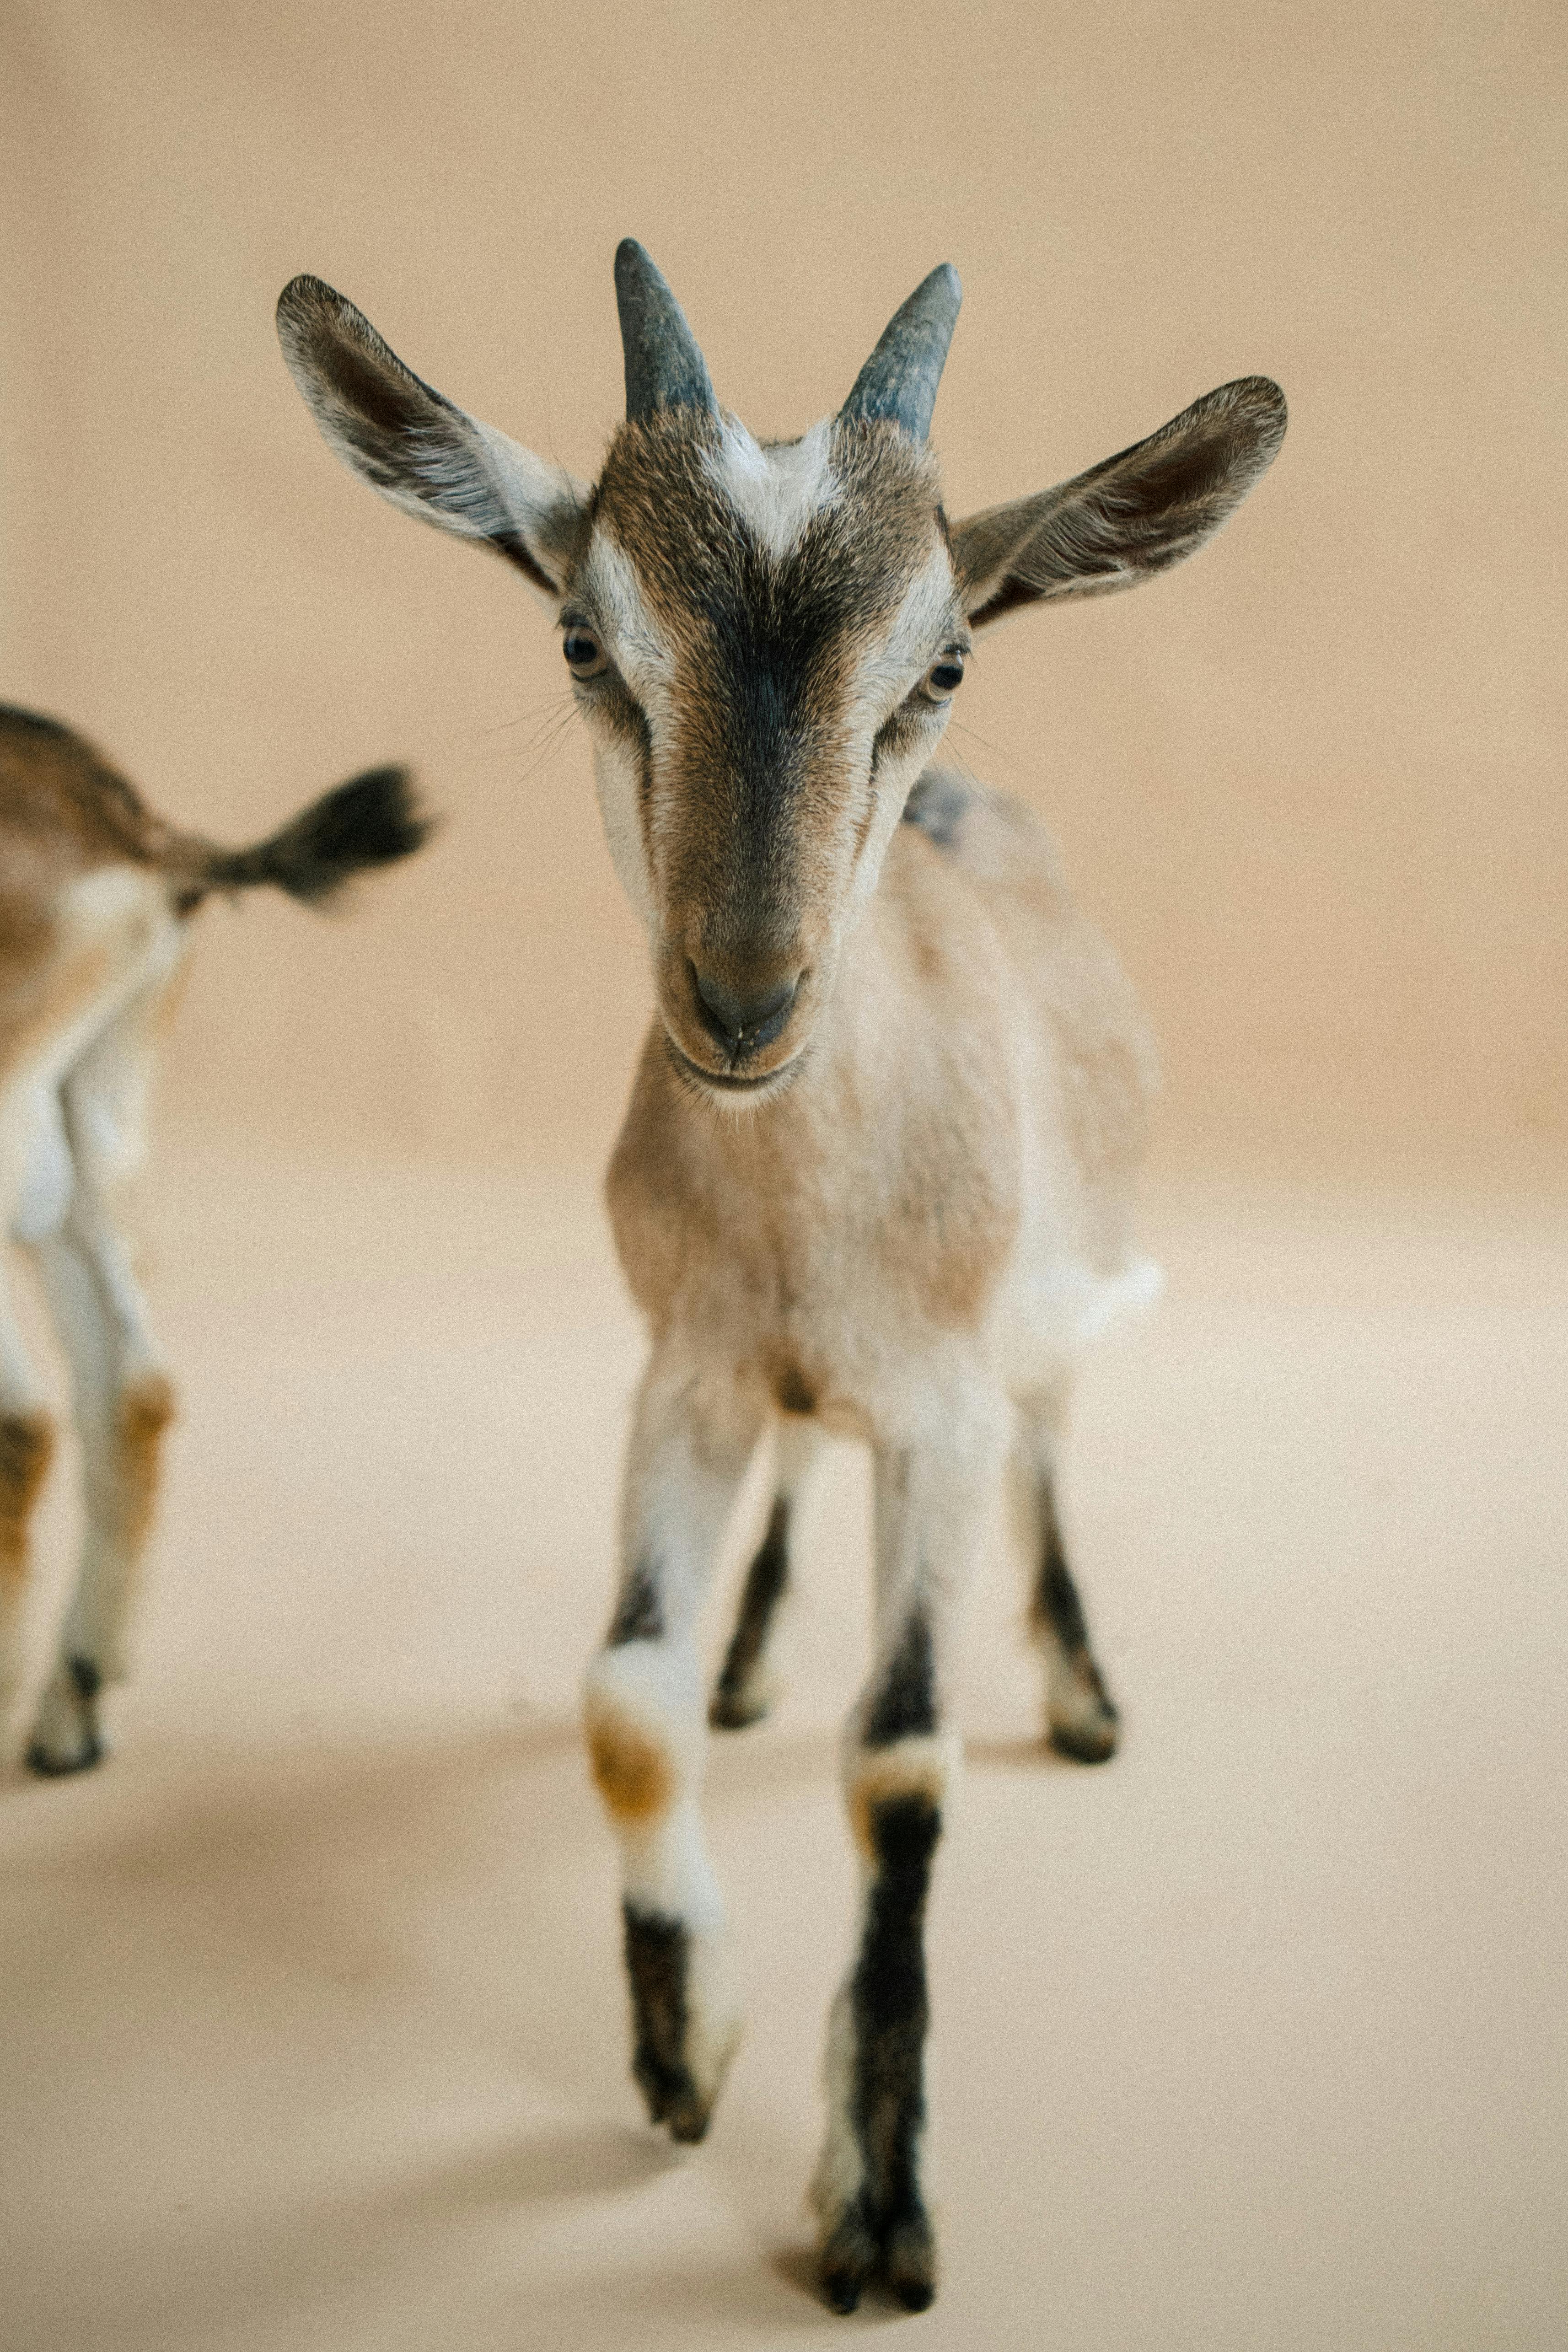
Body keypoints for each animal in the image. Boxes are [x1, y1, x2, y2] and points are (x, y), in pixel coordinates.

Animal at [277, 243, 1284, 2313]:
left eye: (946, 660)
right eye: (583, 639)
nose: (741, 997)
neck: (808, 1212)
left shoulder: (941, 1411)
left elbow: (898, 1761)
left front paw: (878, 2209)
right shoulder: (682, 1374)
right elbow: (617, 1695)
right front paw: (683, 2046)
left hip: (1044, 1319)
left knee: (1058, 1435)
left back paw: (1080, 1692)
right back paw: (752, 1655)